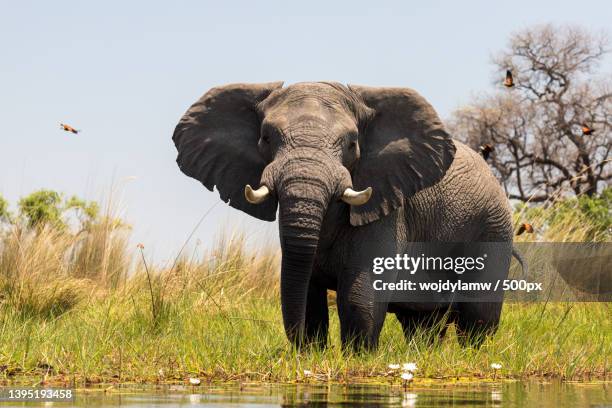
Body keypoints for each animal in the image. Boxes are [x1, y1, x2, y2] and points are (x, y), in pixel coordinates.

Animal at [173, 81, 520, 350]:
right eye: (266, 138)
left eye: (352, 143)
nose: (296, 347)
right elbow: (306, 290)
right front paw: (311, 354)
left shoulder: (388, 207)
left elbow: (360, 295)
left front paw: (357, 358)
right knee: (422, 323)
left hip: (492, 228)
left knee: (478, 316)